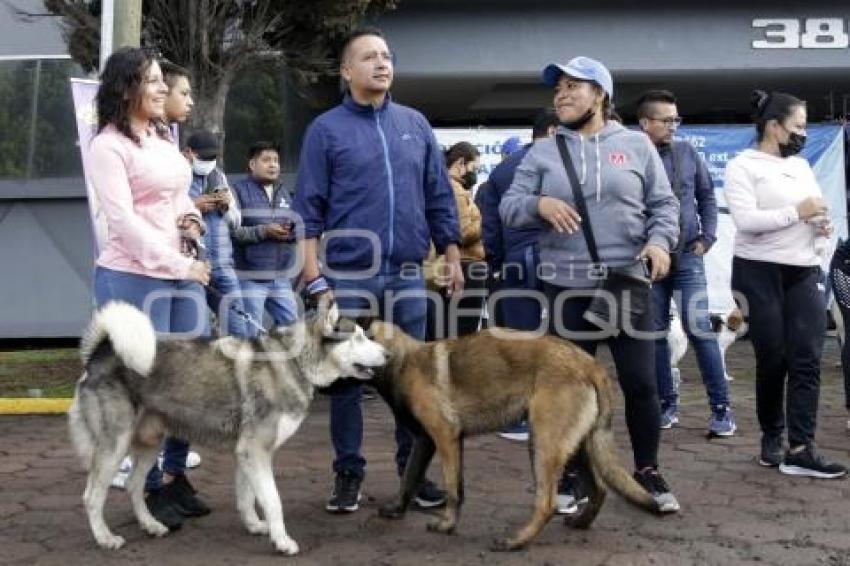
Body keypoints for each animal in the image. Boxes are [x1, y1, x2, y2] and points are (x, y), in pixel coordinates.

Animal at [68, 300, 386, 556]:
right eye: (358, 337)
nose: (387, 354)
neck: (293, 360)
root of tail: (98, 354)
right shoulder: (256, 451)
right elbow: (273, 501)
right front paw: (282, 541)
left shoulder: (244, 454)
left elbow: (247, 497)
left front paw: (255, 525)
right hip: (114, 447)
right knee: (92, 497)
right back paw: (105, 538)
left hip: (149, 445)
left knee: (134, 486)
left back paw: (151, 525)